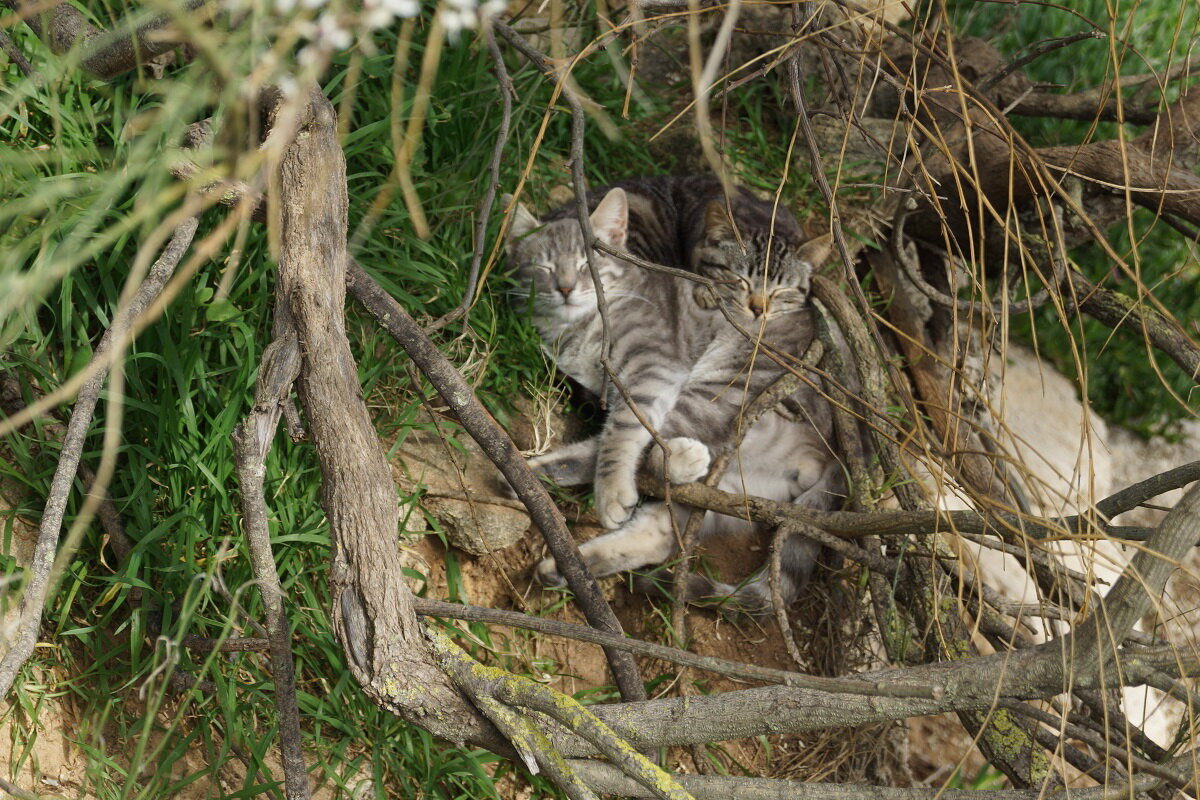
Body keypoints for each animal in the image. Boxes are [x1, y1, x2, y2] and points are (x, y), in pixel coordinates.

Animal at [504, 176, 844, 614]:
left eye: (585, 265)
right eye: (544, 268)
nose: (565, 288)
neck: (576, 331)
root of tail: (837, 457)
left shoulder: (652, 366)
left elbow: (623, 432)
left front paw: (612, 489)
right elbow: (614, 430)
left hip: (726, 384)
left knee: (652, 454)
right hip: (732, 489)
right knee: (657, 532)